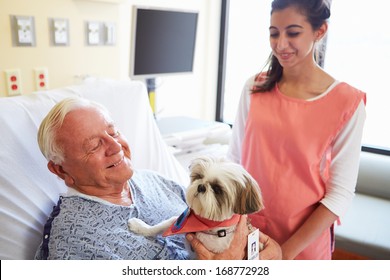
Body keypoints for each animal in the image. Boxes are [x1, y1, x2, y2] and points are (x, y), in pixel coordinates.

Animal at [129, 156, 264, 255]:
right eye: (199, 176)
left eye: (217, 189)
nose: (201, 186)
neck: (206, 225)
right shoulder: (179, 223)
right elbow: (162, 226)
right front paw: (139, 227)